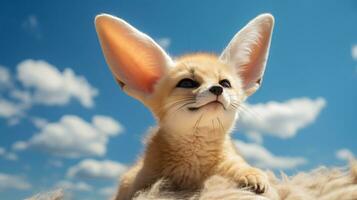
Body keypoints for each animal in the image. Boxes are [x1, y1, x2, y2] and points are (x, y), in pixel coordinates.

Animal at [94, 12, 272, 200]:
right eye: (187, 83)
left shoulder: (229, 163)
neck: (192, 170)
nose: (217, 89)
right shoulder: (138, 183)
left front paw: (252, 176)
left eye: (225, 83)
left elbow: (243, 169)